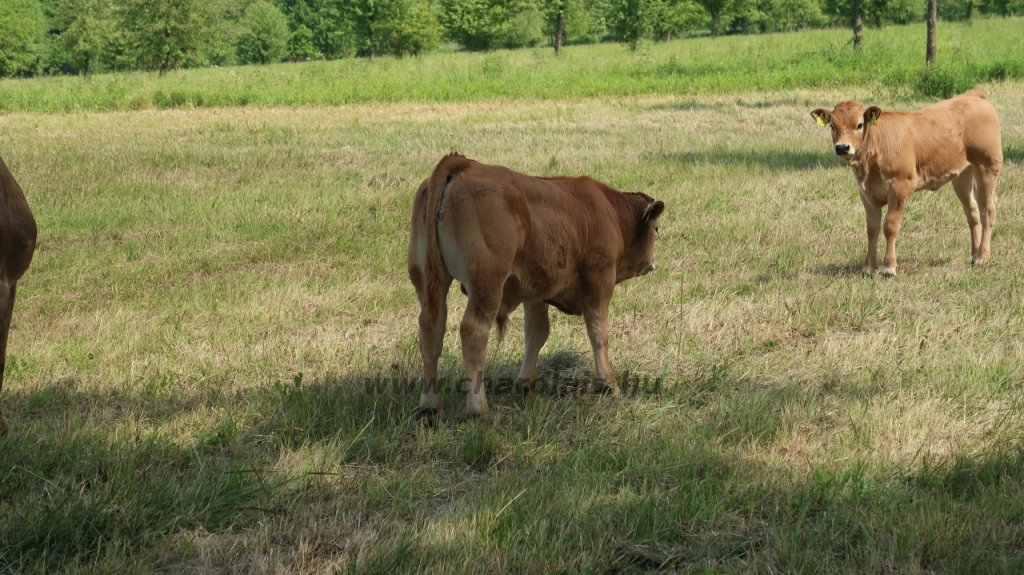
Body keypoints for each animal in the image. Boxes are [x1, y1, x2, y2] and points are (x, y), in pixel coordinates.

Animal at [407, 152, 663, 413]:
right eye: (657, 229)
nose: (653, 263)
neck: (607, 210)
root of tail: (464, 165)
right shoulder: (599, 281)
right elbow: (598, 333)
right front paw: (609, 385)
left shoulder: (536, 292)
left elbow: (536, 333)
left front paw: (525, 383)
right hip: (486, 286)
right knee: (473, 331)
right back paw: (478, 409)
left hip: (429, 283)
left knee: (431, 329)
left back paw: (429, 406)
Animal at [811, 89, 1003, 276]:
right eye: (832, 126)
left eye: (859, 125)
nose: (842, 147)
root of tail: (973, 95)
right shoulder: (866, 192)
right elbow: (872, 229)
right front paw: (868, 268)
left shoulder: (900, 187)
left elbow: (890, 226)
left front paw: (889, 267)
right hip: (962, 175)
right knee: (972, 211)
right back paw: (974, 254)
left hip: (987, 166)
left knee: (988, 209)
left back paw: (982, 256)